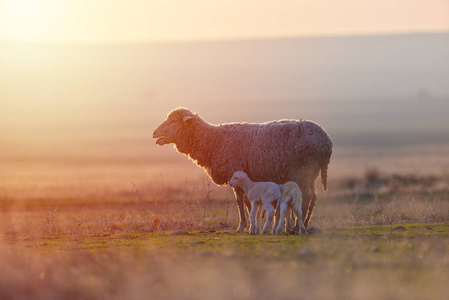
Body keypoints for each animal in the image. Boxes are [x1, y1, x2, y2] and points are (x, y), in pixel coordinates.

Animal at [152, 107, 330, 232]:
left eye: (173, 121)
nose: (154, 133)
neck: (214, 140)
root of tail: (327, 142)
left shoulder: (236, 173)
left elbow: (240, 201)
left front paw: (245, 225)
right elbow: (244, 201)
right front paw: (252, 223)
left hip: (304, 170)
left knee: (306, 196)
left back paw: (298, 226)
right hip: (311, 173)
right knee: (313, 196)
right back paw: (304, 223)